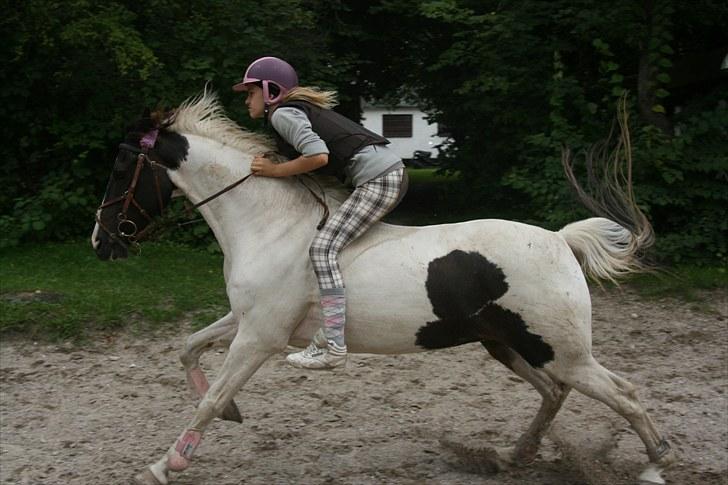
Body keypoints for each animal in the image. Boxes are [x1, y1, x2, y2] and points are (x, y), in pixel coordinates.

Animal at [92, 91, 676, 484]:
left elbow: (211, 399)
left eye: (121, 165)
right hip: (505, 343)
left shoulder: (260, 337)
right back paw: (513, 456)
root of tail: (559, 239)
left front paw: (164, 464)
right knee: (554, 393)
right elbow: (188, 348)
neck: (266, 224)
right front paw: (230, 415)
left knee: (622, 394)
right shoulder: (247, 320)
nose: (102, 243)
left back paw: (655, 465)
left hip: (561, 349)